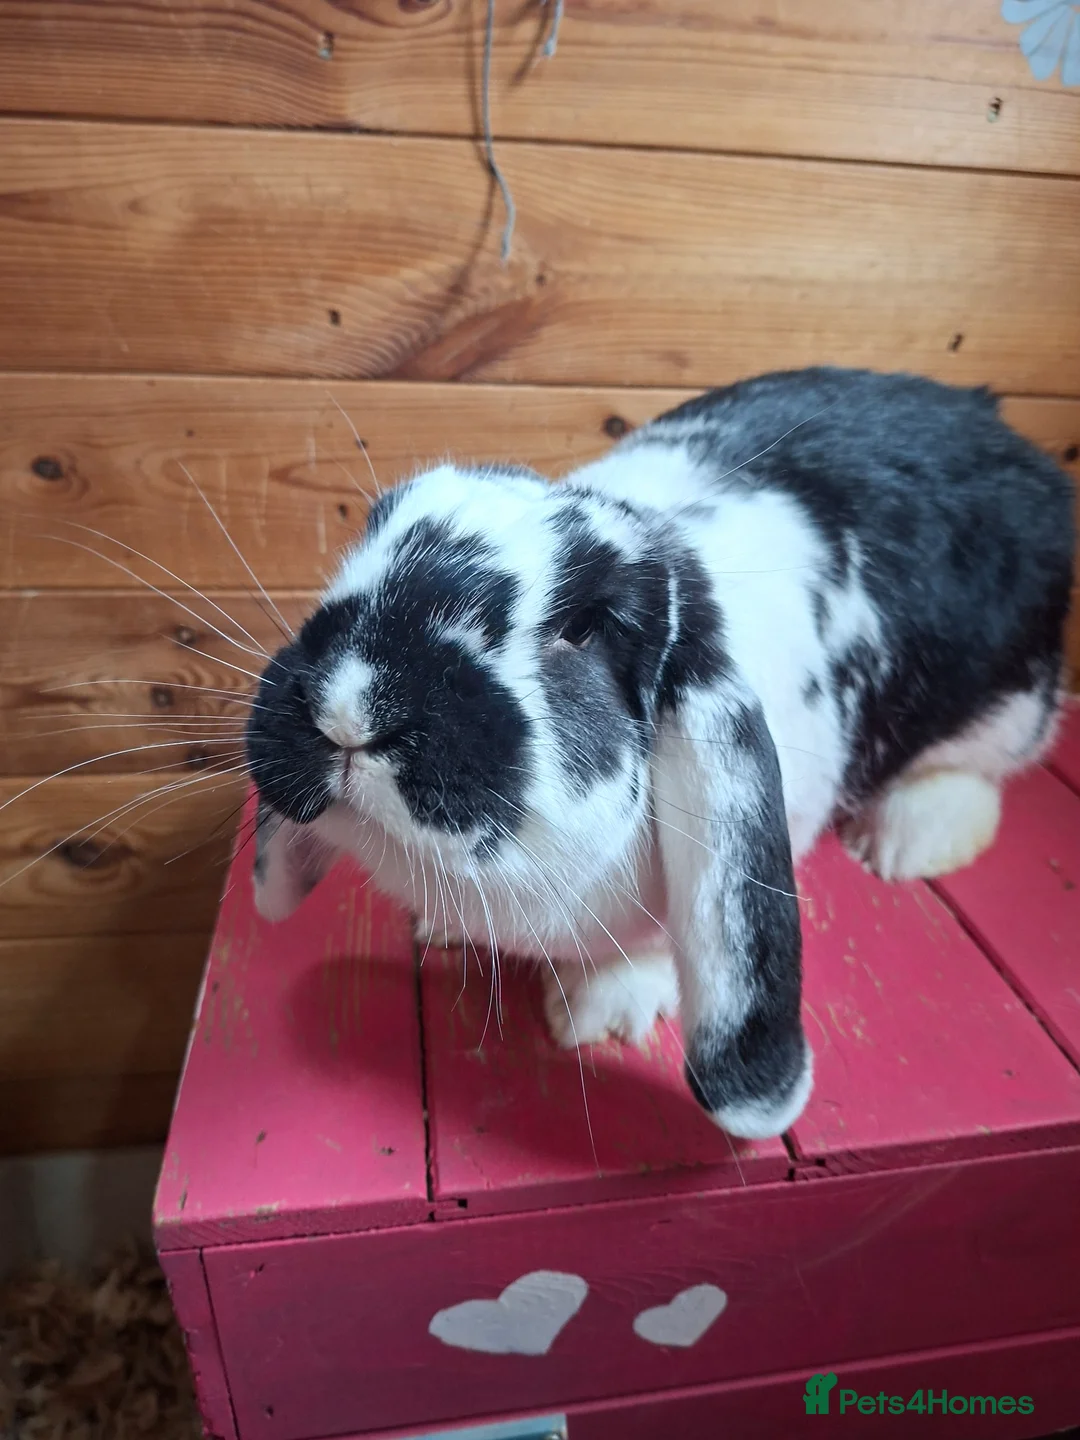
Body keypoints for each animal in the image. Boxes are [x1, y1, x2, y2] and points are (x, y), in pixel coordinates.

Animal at [245, 367, 1075, 1140]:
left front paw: (598, 1015)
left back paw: (906, 841)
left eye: (583, 628)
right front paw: (440, 928)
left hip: (1003, 706)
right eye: (365, 546)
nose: (344, 707)